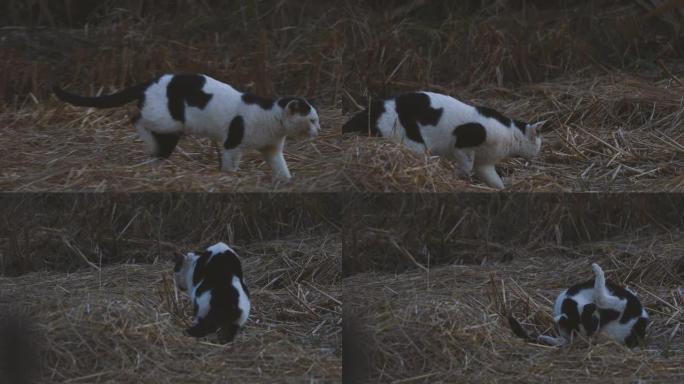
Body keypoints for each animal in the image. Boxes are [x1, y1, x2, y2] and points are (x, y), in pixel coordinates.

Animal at [53, 74, 320, 181]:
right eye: (312, 120)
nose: (320, 130)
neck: (271, 118)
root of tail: (152, 80)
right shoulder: (232, 143)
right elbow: (230, 165)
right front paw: (230, 177)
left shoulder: (272, 149)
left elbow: (282, 168)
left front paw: (287, 181)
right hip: (167, 121)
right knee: (135, 118)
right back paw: (150, 147)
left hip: (170, 129)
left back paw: (153, 157)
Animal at [342, 93, 544, 189]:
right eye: (539, 145)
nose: (537, 155)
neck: (511, 135)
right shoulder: (463, 143)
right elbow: (466, 166)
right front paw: (456, 177)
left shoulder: (485, 164)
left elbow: (494, 181)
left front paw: (501, 189)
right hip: (412, 141)